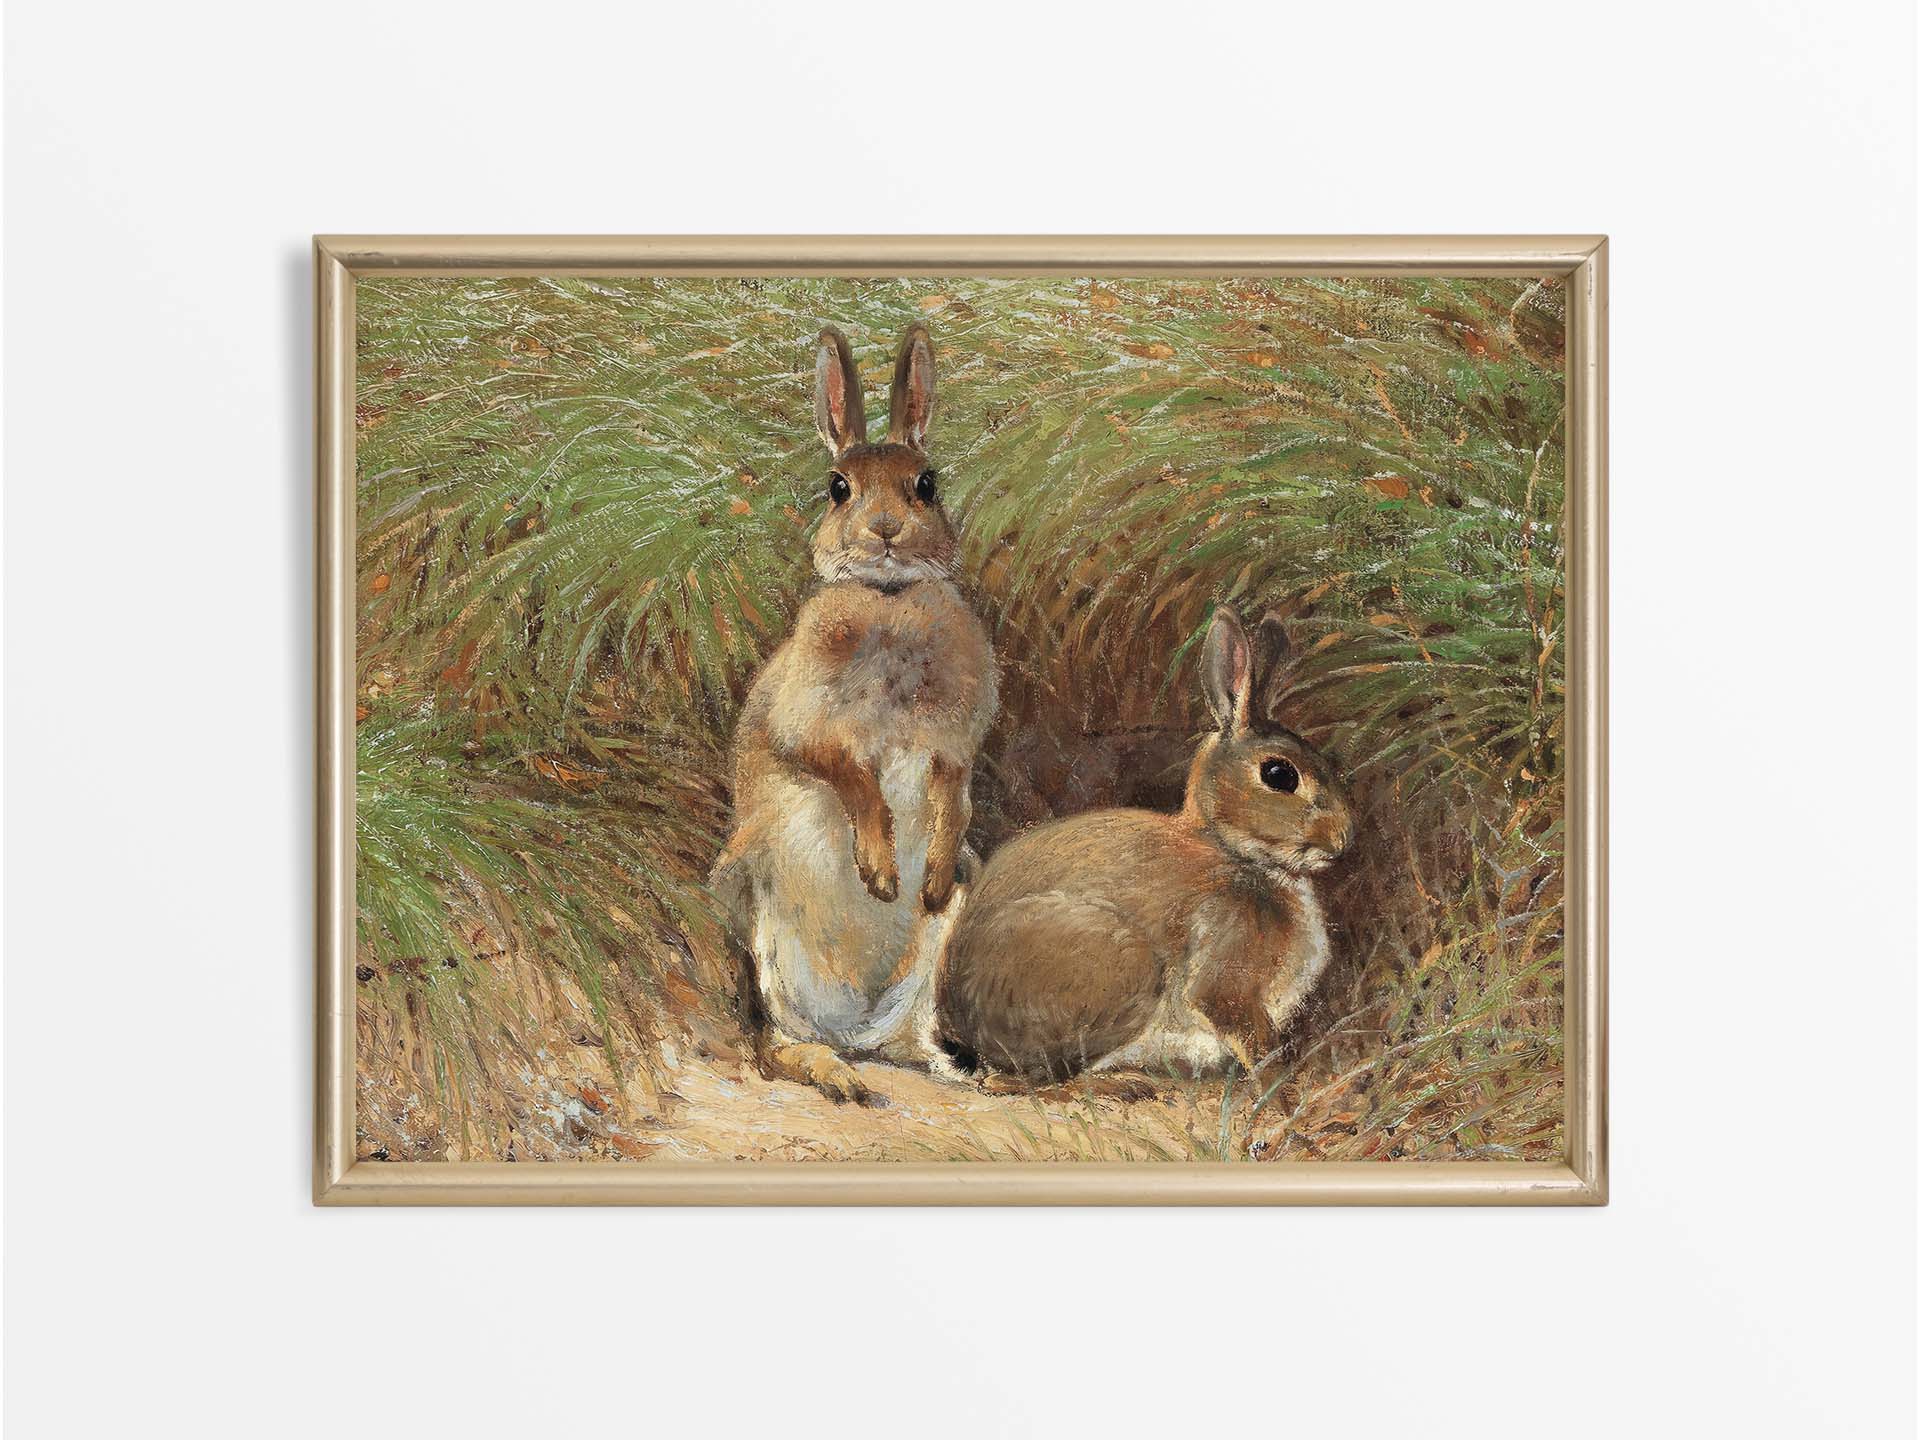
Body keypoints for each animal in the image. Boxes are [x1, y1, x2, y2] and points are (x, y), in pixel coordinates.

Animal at [708, 323, 997, 1105]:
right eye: (839, 488)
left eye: (927, 484)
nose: (887, 530)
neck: (888, 602)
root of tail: (857, 1024)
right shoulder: (805, 727)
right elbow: (851, 776)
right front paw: (880, 874)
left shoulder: (955, 747)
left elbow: (953, 795)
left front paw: (924, 880)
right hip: (760, 921)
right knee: (774, 1041)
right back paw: (835, 1075)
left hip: (935, 950)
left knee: (912, 1038)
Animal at [932, 605, 1352, 1097]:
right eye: (1279, 775)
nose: (1343, 840)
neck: (1232, 850)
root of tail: (959, 1028)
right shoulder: (1225, 978)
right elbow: (1253, 1039)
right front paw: (1281, 1088)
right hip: (1124, 970)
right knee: (1029, 1081)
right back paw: (1123, 1083)